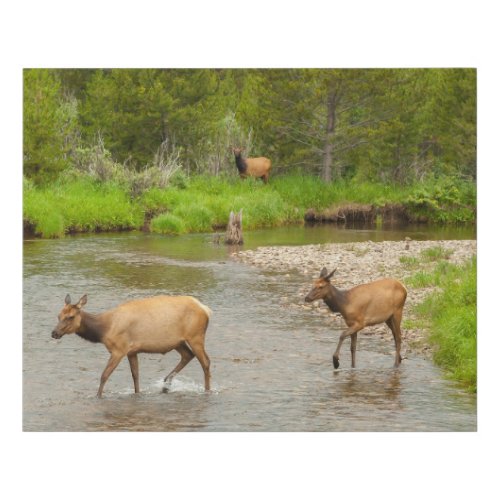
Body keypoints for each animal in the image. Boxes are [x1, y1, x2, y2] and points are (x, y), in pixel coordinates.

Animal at [52, 292, 211, 398]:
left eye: (71, 316)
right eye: (59, 315)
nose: (54, 333)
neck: (103, 330)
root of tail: (206, 309)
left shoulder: (119, 349)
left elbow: (104, 375)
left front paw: (97, 396)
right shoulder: (132, 351)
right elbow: (135, 375)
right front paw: (137, 393)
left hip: (195, 336)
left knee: (205, 362)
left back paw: (207, 390)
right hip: (177, 341)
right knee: (188, 355)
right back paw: (166, 384)